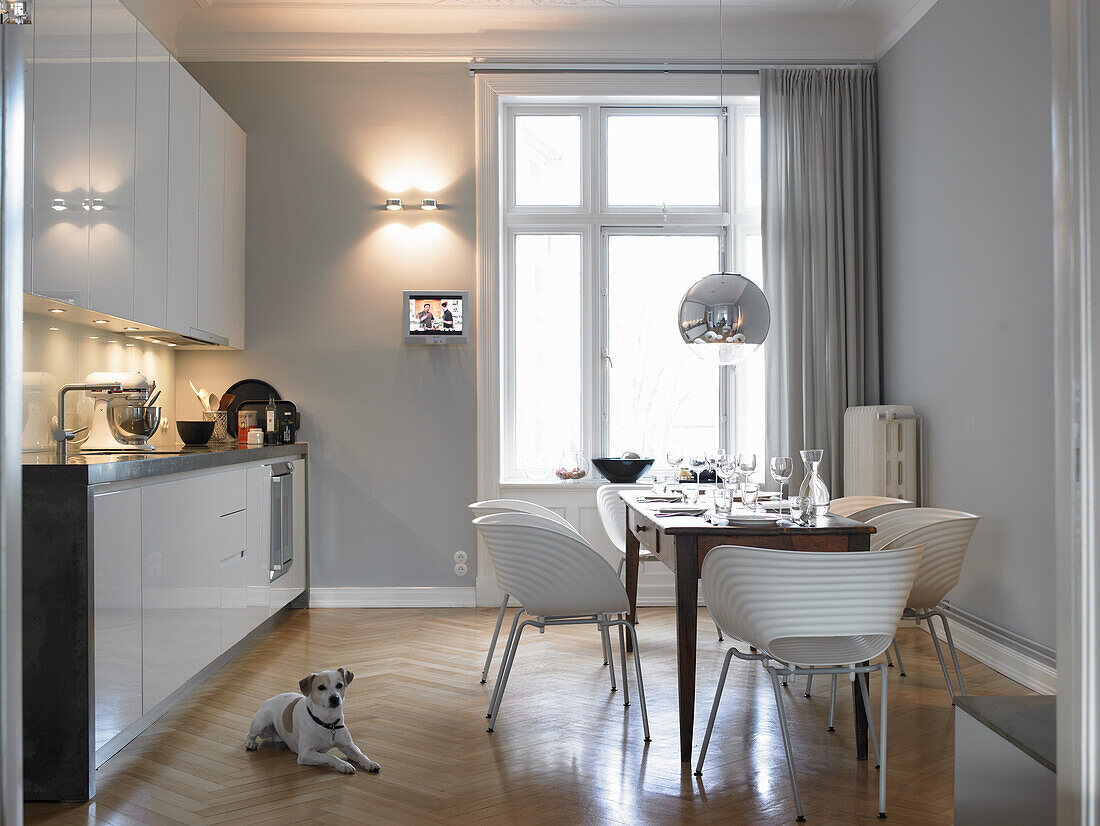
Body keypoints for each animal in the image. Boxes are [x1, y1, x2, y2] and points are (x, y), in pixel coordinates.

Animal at [243, 664, 380, 774]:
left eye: (339, 685)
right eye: (321, 687)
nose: (335, 698)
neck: (327, 722)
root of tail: (268, 700)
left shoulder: (348, 746)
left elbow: (360, 754)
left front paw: (370, 763)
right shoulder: (305, 753)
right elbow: (331, 756)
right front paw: (343, 765)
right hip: (262, 722)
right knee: (250, 734)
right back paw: (250, 744)